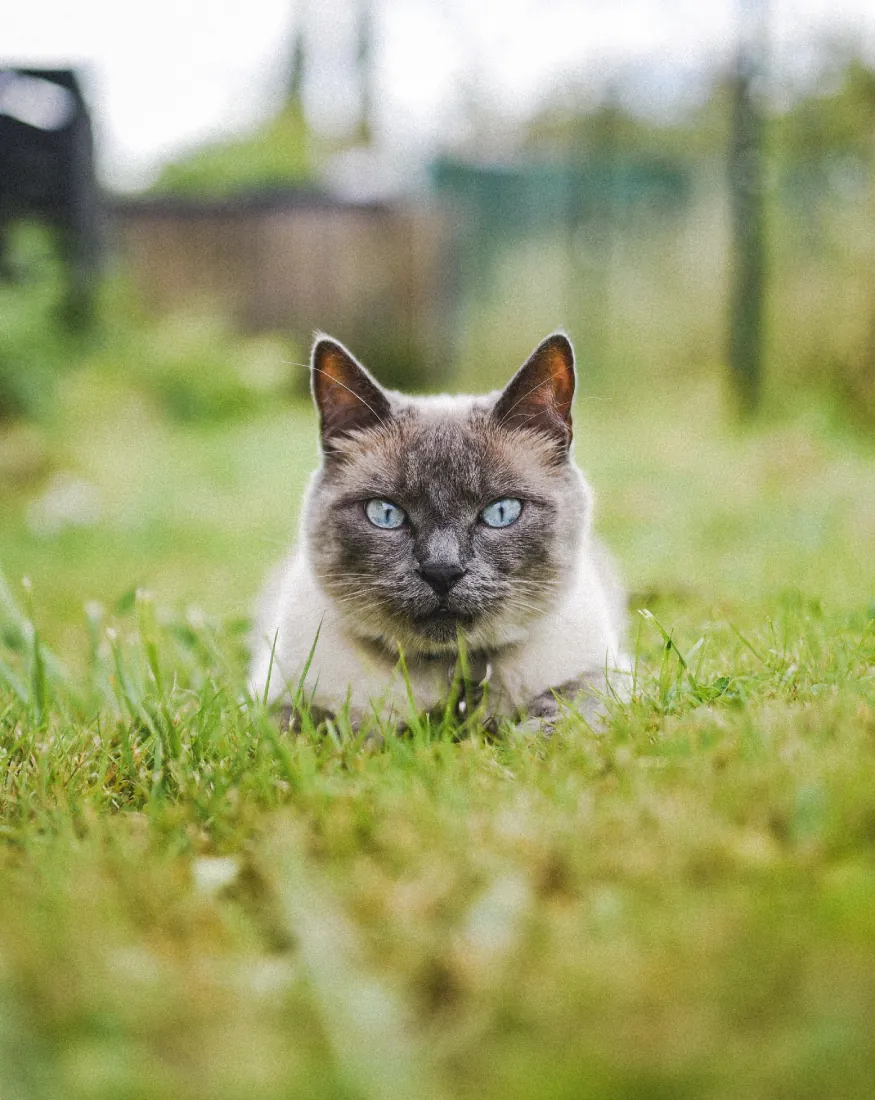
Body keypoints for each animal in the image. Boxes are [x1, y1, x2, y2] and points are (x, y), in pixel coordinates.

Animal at [247, 334, 629, 730]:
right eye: (386, 514)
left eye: (500, 512)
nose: (442, 571)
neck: (450, 669)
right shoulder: (273, 698)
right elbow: (312, 724)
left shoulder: (607, 677)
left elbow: (568, 709)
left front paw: (527, 733)